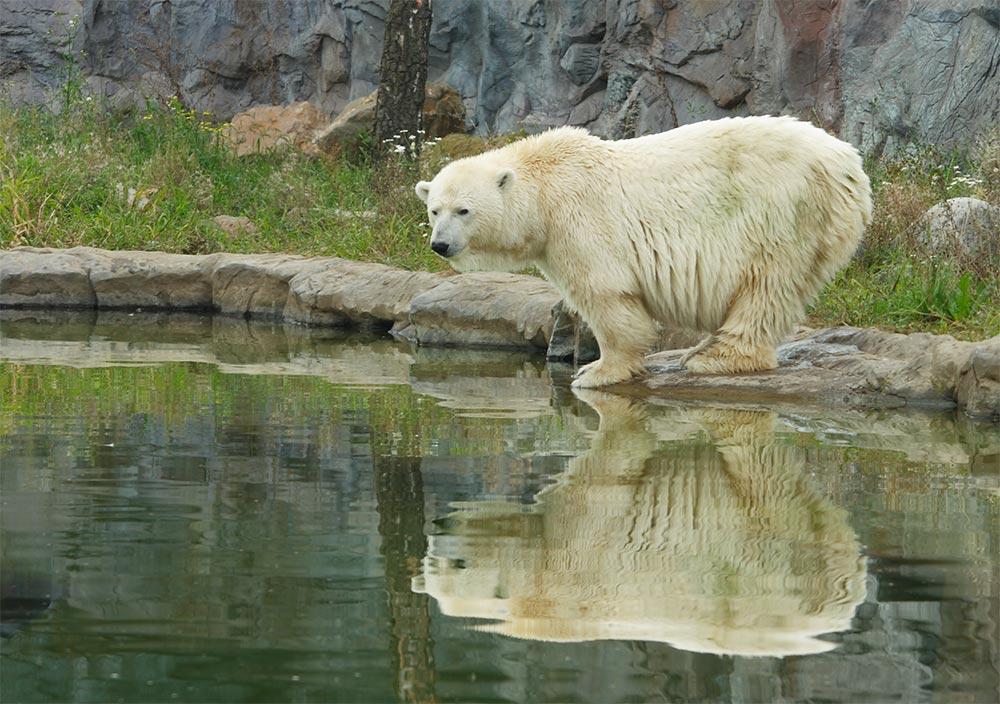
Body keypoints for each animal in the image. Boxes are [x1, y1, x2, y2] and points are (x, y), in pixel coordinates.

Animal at [414, 117, 868, 388]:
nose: (440, 244)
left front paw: (596, 371)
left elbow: (606, 295)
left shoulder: (578, 221)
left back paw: (715, 357)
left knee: (765, 284)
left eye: (464, 210)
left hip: (783, 212)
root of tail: (849, 165)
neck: (544, 187)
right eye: (434, 209)